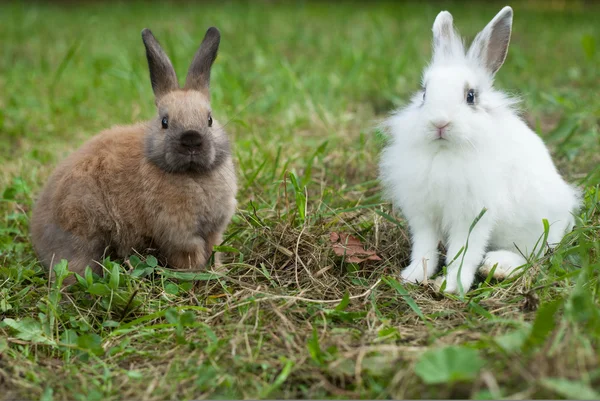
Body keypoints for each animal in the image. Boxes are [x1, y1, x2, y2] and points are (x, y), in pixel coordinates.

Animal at [29, 27, 237, 282]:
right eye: (164, 122)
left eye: (209, 119)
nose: (191, 140)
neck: (192, 174)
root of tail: (38, 232)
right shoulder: (179, 234)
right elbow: (190, 255)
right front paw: (197, 275)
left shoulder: (214, 231)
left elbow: (214, 249)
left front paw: (218, 271)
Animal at [380, 6, 580, 292]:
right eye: (424, 94)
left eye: (470, 96)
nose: (439, 123)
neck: (446, 151)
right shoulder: (424, 215)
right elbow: (424, 248)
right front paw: (414, 276)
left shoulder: (473, 216)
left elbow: (464, 251)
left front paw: (451, 286)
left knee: (533, 255)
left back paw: (497, 266)